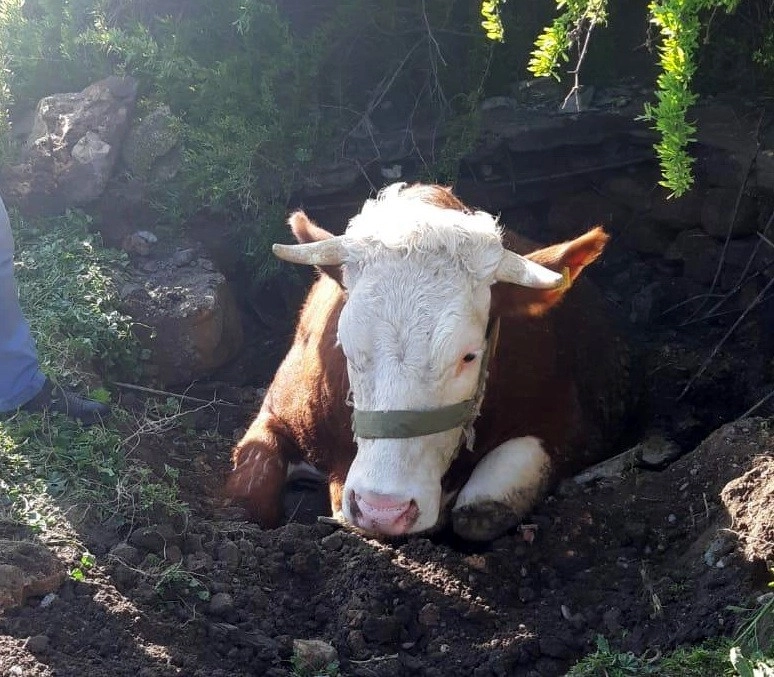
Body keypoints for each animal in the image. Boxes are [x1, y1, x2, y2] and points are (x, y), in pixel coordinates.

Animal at [227, 182, 632, 540]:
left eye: (469, 355)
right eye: (347, 347)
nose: (382, 508)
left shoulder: (573, 425)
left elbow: (482, 508)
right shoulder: (276, 409)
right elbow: (248, 494)